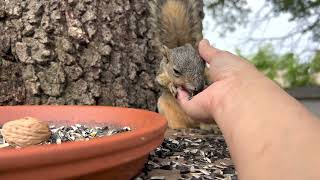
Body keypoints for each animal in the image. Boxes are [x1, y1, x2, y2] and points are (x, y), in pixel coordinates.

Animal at [149, 0, 216, 130]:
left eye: (203, 65)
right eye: (176, 71)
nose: (197, 87)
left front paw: (205, 85)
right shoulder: (161, 73)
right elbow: (160, 81)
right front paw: (171, 85)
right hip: (165, 107)